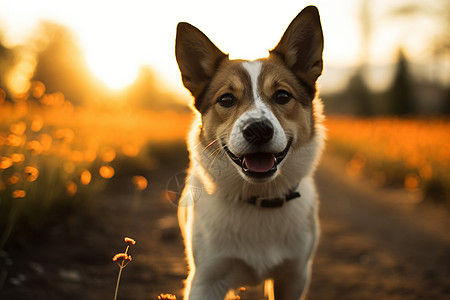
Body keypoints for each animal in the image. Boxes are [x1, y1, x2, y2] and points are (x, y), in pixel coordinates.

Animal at [174, 5, 326, 300]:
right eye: (226, 99)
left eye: (282, 96)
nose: (258, 130)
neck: (259, 198)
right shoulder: (206, 280)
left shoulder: (294, 277)